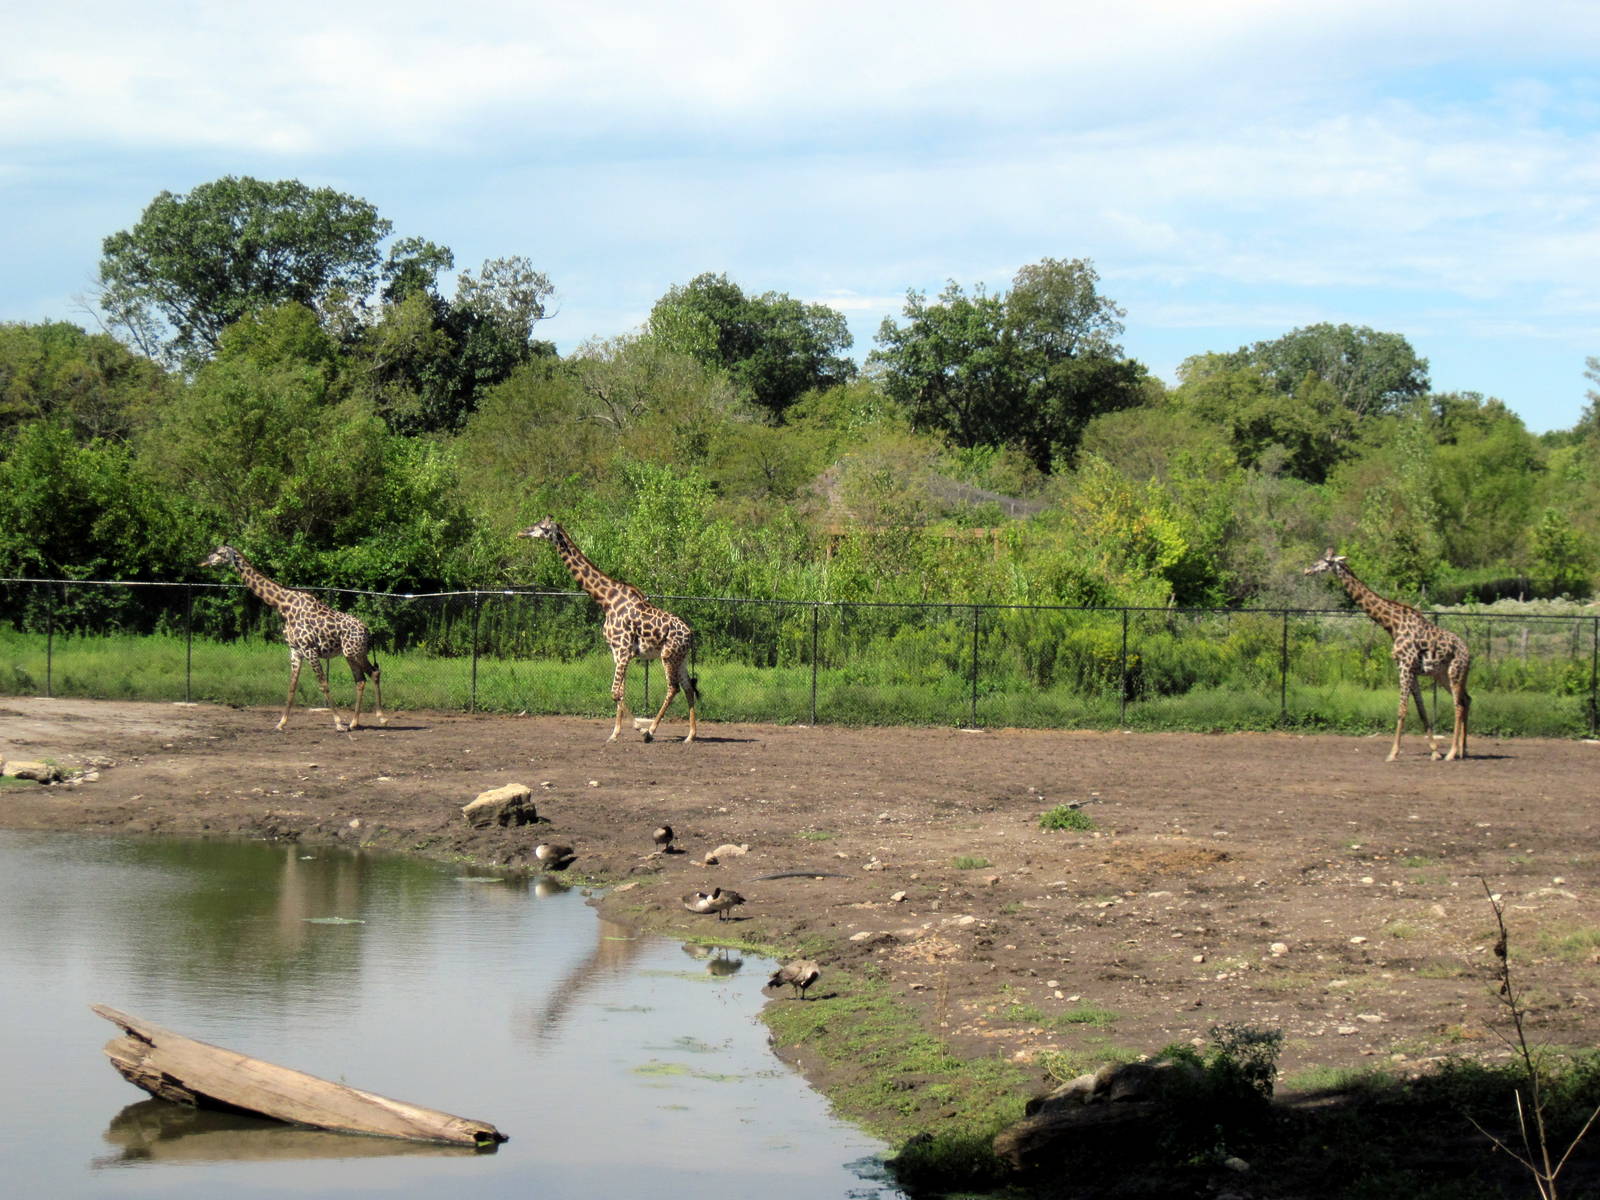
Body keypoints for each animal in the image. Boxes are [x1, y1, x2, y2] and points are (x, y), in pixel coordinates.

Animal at [199, 545, 384, 733]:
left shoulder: (309, 649)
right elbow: (292, 686)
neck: (283, 605)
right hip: (350, 654)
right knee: (361, 680)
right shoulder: (295, 650)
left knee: (374, 672)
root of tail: (368, 631)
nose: (204, 562)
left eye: (220, 553)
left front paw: (339, 723)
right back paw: (354, 723)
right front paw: (281, 723)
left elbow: (323, 684)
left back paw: (381, 718)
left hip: (355, 652)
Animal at [517, 516, 698, 743]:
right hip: (680, 657)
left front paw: (640, 729)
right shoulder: (618, 652)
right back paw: (690, 736)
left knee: (673, 688)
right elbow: (621, 692)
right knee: (688, 687)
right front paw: (615, 733)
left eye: (541, 527)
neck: (606, 601)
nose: (521, 532)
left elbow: (614, 692)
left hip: (668, 656)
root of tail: (690, 634)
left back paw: (652, 731)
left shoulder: (623, 650)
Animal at [1304, 547, 1469, 761]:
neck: (1392, 624)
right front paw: (1434, 751)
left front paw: (1393, 753)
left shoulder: (1405, 667)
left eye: (1324, 561)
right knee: (1466, 700)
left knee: (1458, 705)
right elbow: (1421, 710)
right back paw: (1463, 750)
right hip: (1443, 675)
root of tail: (1468, 652)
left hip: (1454, 672)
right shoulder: (1411, 670)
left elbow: (1402, 710)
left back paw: (1452, 753)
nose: (1307, 570)